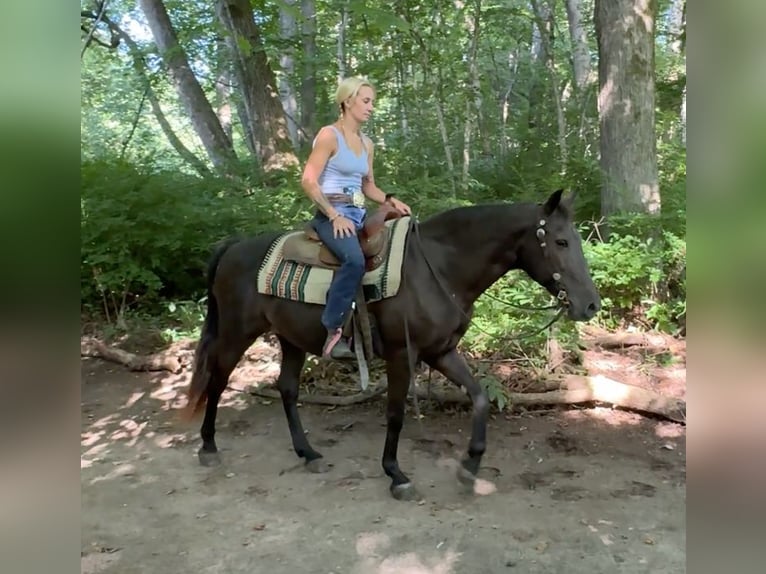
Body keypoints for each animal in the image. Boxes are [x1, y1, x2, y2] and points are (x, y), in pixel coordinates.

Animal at [184, 189, 601, 500]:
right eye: (561, 241)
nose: (591, 305)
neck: (439, 267)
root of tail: (234, 247)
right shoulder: (404, 354)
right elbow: (396, 413)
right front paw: (396, 475)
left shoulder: (441, 351)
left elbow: (480, 397)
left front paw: (469, 468)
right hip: (237, 332)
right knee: (217, 381)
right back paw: (208, 447)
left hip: (290, 338)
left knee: (286, 389)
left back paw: (308, 453)